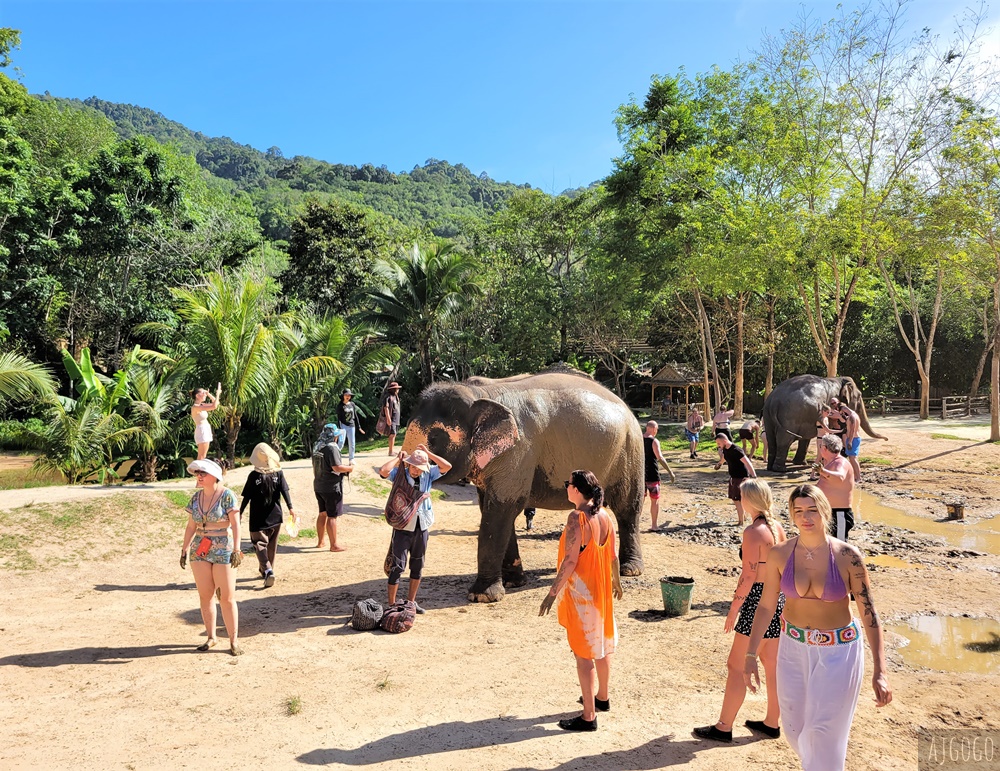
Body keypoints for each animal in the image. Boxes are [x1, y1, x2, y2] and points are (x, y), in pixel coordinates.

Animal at [400, 370, 644, 608]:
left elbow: (500, 509)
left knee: (627, 508)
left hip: (630, 450)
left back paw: (630, 570)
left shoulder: (518, 452)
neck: (479, 392)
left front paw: (482, 597)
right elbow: (492, 508)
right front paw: (513, 583)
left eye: (435, 437)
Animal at [760, 372, 888, 470]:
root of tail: (773, 401)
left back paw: (770, 468)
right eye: (860, 396)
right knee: (784, 441)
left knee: (772, 440)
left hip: (768, 416)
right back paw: (780, 470)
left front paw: (800, 463)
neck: (838, 379)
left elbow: (806, 438)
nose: (886, 439)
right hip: (790, 416)